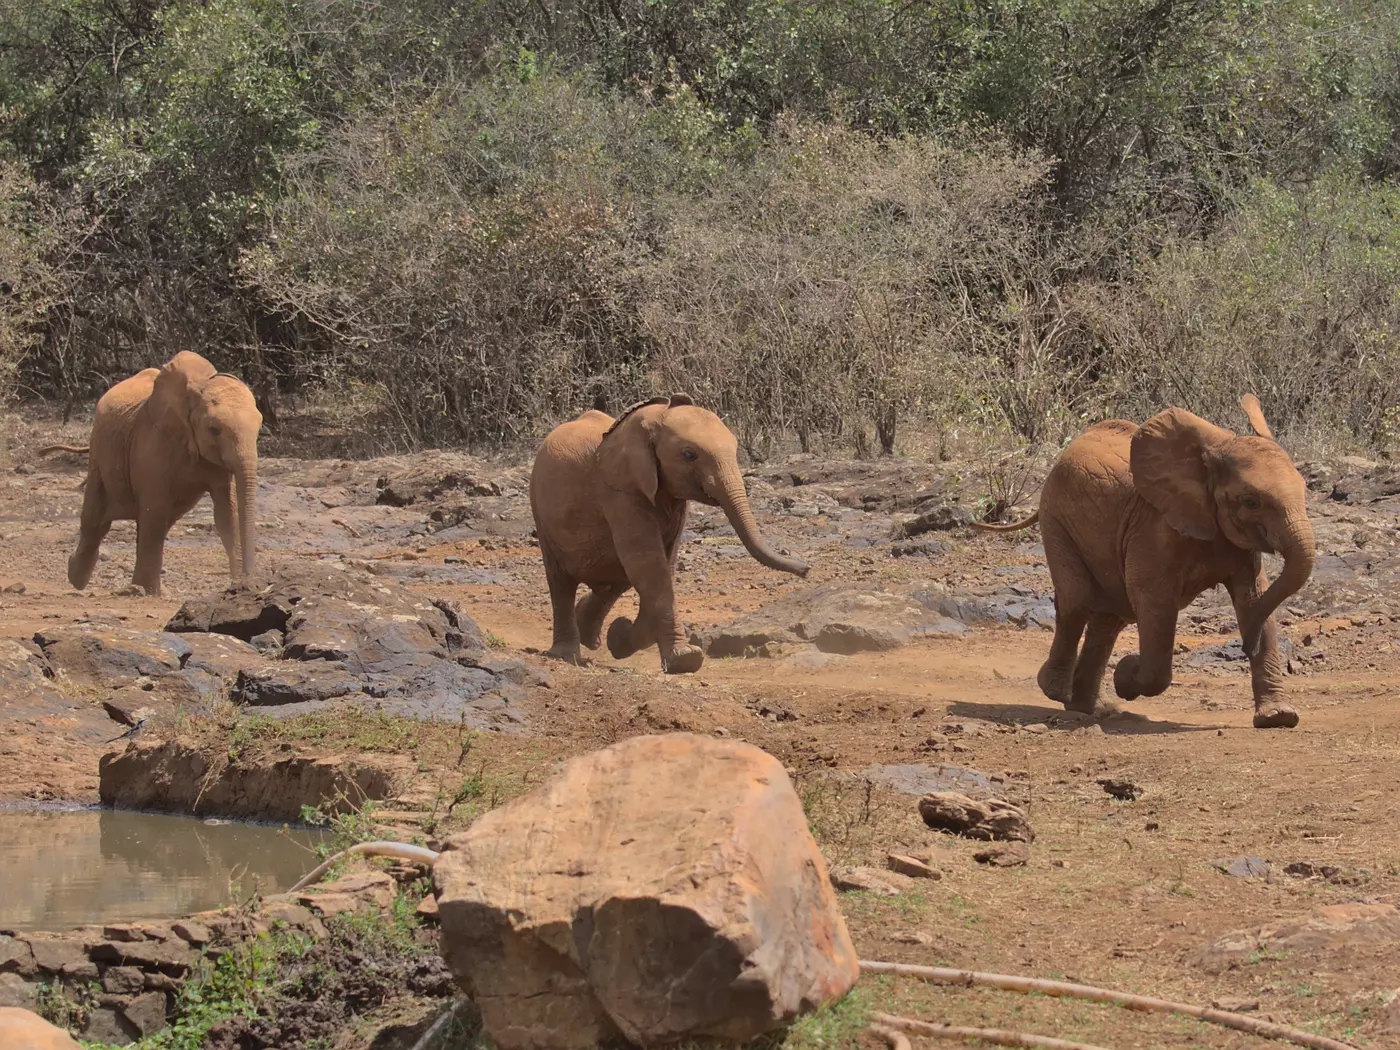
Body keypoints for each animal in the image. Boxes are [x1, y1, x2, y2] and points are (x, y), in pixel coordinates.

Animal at [42, 351, 262, 597]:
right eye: (213, 429)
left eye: (259, 428)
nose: (250, 583)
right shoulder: (152, 443)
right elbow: (154, 509)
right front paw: (146, 591)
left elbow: (227, 514)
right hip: (99, 451)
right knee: (97, 520)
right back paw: (77, 578)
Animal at [530, 395, 810, 673]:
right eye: (688, 455)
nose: (806, 570)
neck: (650, 418)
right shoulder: (620, 492)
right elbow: (650, 566)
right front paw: (685, 659)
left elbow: (664, 563)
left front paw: (619, 638)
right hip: (542, 514)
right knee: (563, 582)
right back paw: (566, 654)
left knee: (615, 579)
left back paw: (591, 637)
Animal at [975, 395, 1315, 729]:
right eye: (1250, 502)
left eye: (1304, 490)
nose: (1245, 646)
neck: (1210, 458)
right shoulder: (1153, 526)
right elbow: (1153, 599)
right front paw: (1125, 675)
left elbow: (1254, 597)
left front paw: (1279, 717)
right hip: (1057, 519)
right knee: (1077, 601)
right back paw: (1058, 690)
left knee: (1110, 616)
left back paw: (1091, 707)